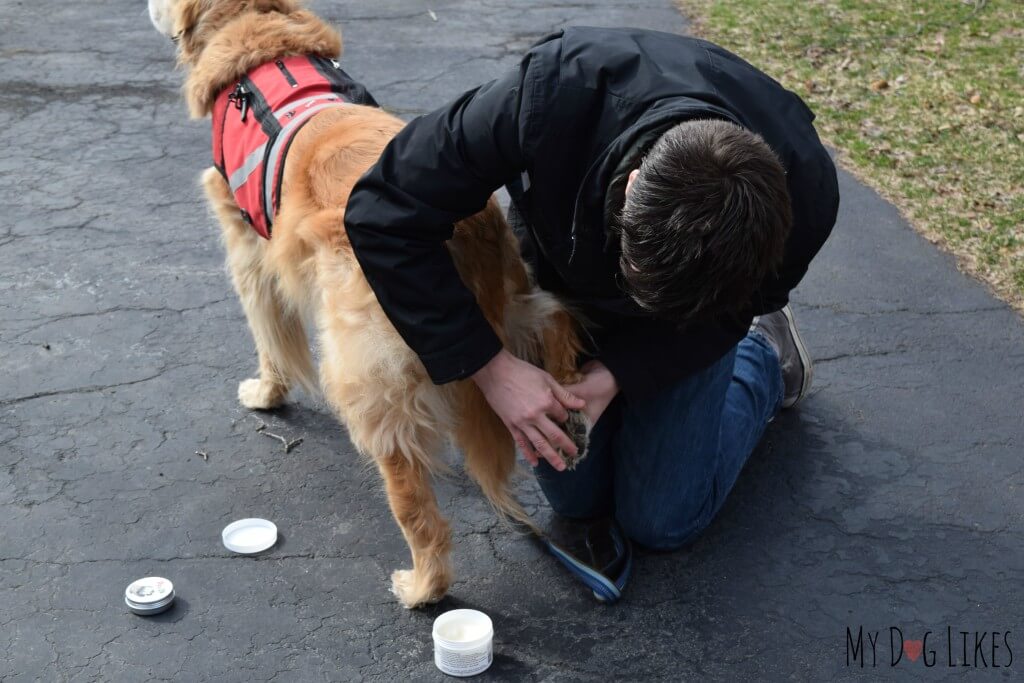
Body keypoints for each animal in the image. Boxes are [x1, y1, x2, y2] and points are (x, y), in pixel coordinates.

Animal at [149, 0, 585, 610]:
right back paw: (572, 405)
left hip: (370, 376)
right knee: (554, 318)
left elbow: (268, 335)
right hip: (504, 303)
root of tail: (462, 224)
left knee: (415, 503)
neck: (260, 39)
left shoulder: (248, 249)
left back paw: (423, 585)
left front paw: (266, 393)